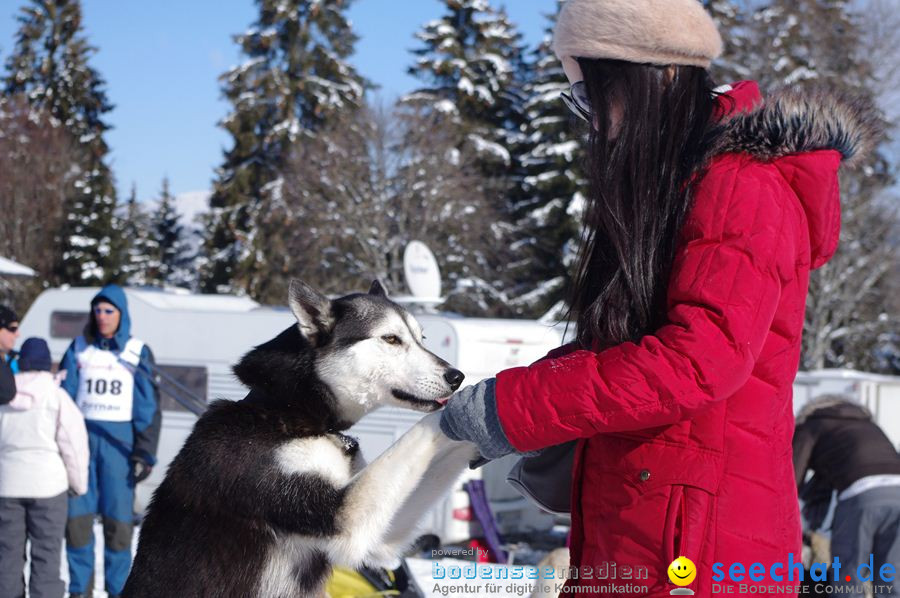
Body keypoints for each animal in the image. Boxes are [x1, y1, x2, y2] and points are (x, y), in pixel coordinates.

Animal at [125, 282, 486, 598]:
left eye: (421, 338)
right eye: (391, 339)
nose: (457, 376)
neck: (291, 416)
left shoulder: (377, 533)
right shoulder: (343, 517)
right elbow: (425, 426)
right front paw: (474, 404)